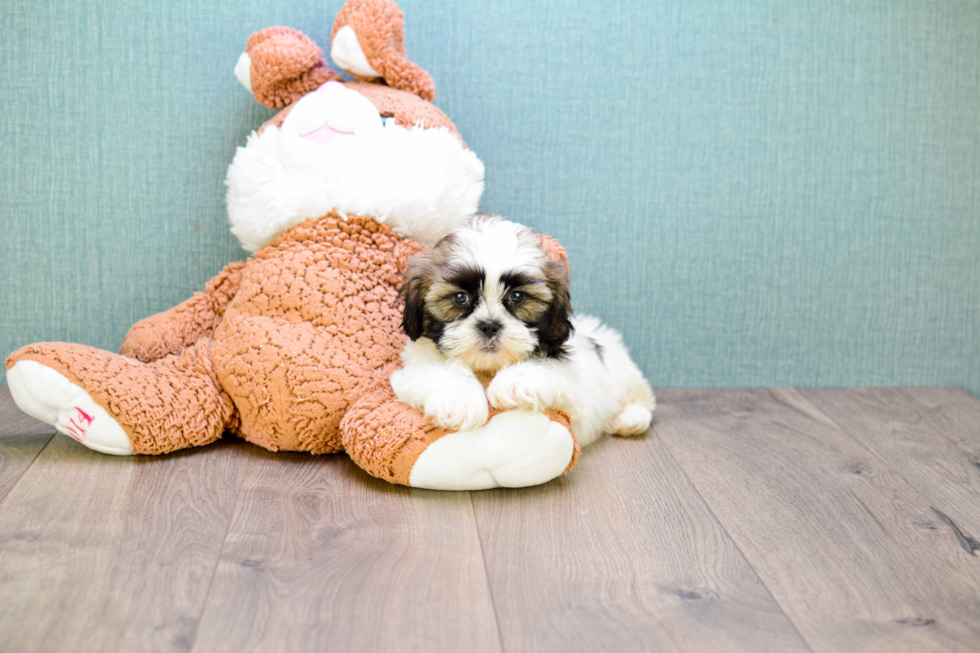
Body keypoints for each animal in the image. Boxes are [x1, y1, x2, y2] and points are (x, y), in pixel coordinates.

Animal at [386, 215, 656, 448]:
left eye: (517, 297)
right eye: (460, 298)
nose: (490, 325)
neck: (487, 367)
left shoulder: (571, 383)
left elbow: (548, 368)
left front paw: (512, 383)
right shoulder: (416, 365)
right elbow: (441, 371)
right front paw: (460, 400)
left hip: (624, 374)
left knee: (643, 398)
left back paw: (630, 419)